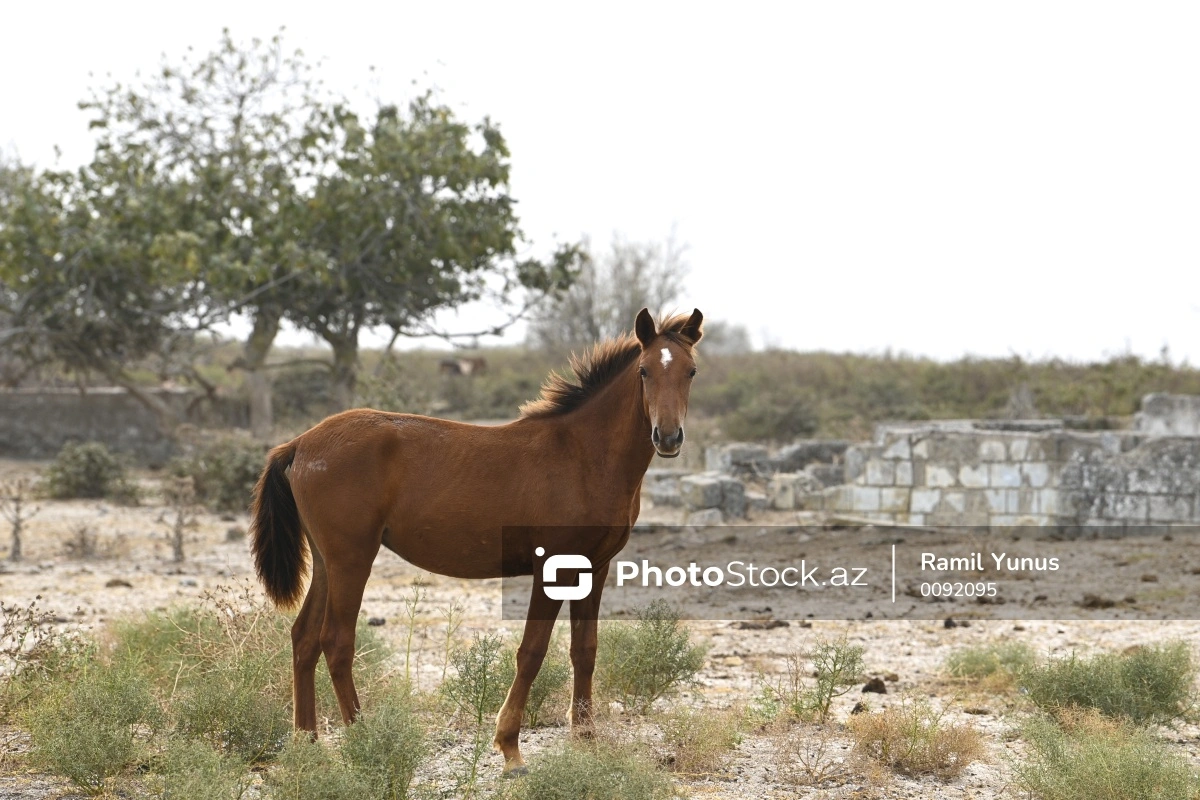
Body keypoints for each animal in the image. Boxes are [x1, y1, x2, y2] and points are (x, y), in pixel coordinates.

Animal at [253, 304, 700, 767]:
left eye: (691, 371)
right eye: (644, 371)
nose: (668, 437)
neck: (582, 455)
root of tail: (300, 443)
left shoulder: (594, 567)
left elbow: (585, 650)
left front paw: (585, 738)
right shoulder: (551, 568)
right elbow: (532, 651)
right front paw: (510, 747)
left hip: (327, 562)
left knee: (304, 639)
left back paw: (307, 746)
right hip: (351, 559)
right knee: (337, 642)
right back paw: (365, 740)